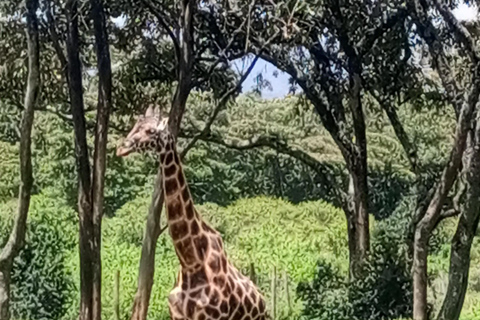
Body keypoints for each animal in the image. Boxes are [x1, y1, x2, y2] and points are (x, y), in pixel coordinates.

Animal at [116, 105, 266, 320]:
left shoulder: (212, 316)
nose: (121, 148)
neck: (190, 262)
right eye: (136, 124)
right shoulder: (177, 314)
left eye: (151, 131)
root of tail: (263, 301)